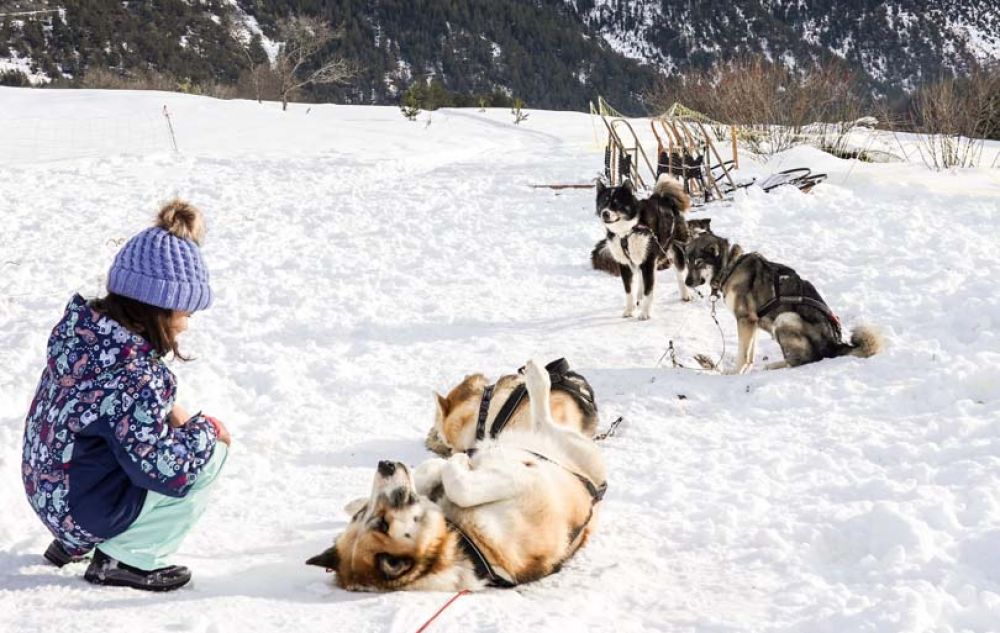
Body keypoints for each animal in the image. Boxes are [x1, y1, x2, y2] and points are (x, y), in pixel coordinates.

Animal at [588, 175, 692, 318]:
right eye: (603, 202)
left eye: (616, 203)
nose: (605, 213)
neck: (627, 231)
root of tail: (663, 198)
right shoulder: (625, 264)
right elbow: (628, 290)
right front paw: (629, 310)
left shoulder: (648, 260)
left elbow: (649, 290)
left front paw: (645, 313)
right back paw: (639, 298)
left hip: (675, 249)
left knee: (680, 274)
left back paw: (685, 294)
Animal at [680, 231, 884, 370]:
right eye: (688, 262)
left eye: (699, 262)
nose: (687, 282)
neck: (730, 267)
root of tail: (835, 345)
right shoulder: (752, 323)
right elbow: (749, 353)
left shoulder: (744, 320)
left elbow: (742, 354)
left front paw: (734, 372)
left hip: (785, 318)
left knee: (803, 360)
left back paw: (773, 365)